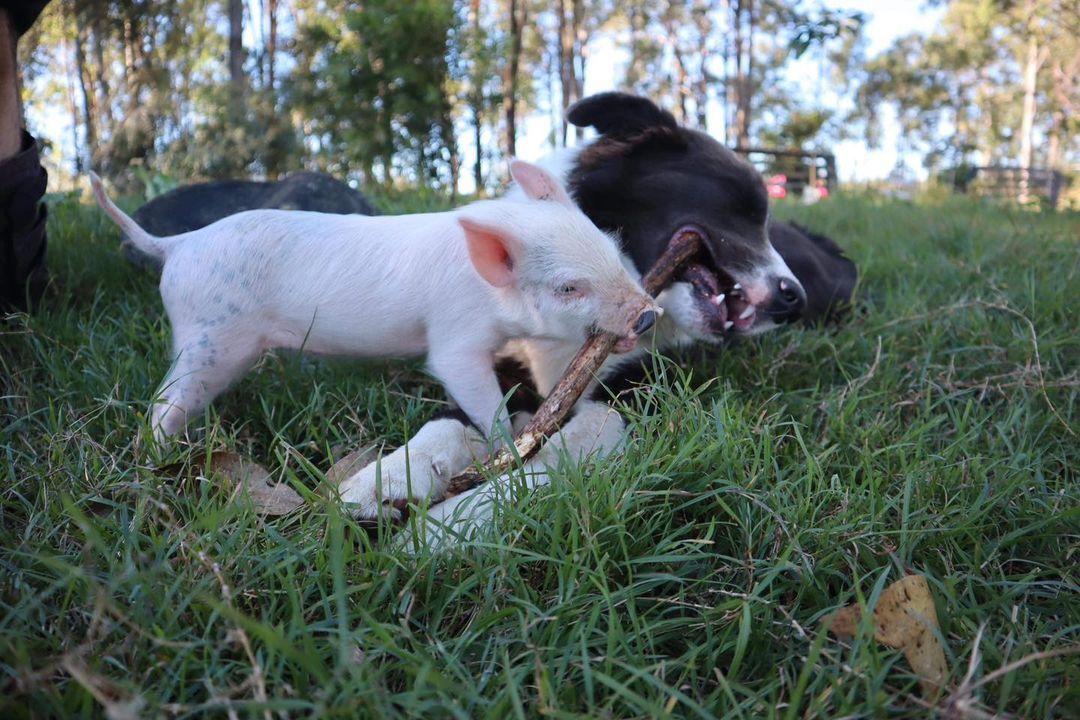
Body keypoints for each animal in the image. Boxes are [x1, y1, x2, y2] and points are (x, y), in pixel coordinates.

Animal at [339, 91, 859, 539]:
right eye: (745, 207)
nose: (793, 298)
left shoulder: (636, 390)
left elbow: (552, 455)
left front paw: (447, 525)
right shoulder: (500, 363)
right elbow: (456, 419)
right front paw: (386, 480)